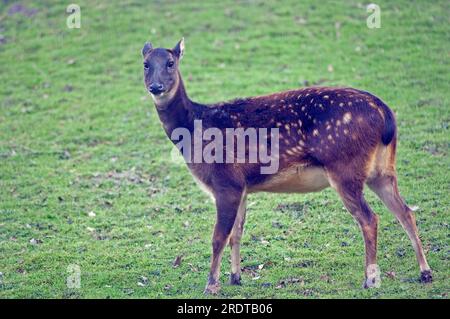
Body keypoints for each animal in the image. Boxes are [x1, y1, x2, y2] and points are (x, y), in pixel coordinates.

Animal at [142, 38, 432, 296]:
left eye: (170, 62)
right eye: (145, 63)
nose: (155, 86)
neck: (195, 129)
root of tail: (386, 113)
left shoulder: (226, 181)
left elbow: (218, 237)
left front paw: (211, 285)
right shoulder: (243, 186)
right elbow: (237, 233)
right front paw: (235, 278)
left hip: (345, 167)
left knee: (370, 218)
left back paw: (370, 280)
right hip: (382, 170)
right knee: (405, 211)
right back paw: (425, 272)